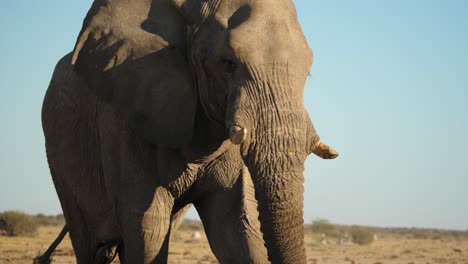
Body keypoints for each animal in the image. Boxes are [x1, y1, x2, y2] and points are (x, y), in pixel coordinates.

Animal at [40, 0, 338, 262]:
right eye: (228, 63)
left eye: (308, 73)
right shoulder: (127, 124)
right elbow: (148, 231)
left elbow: (237, 230)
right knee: (88, 242)